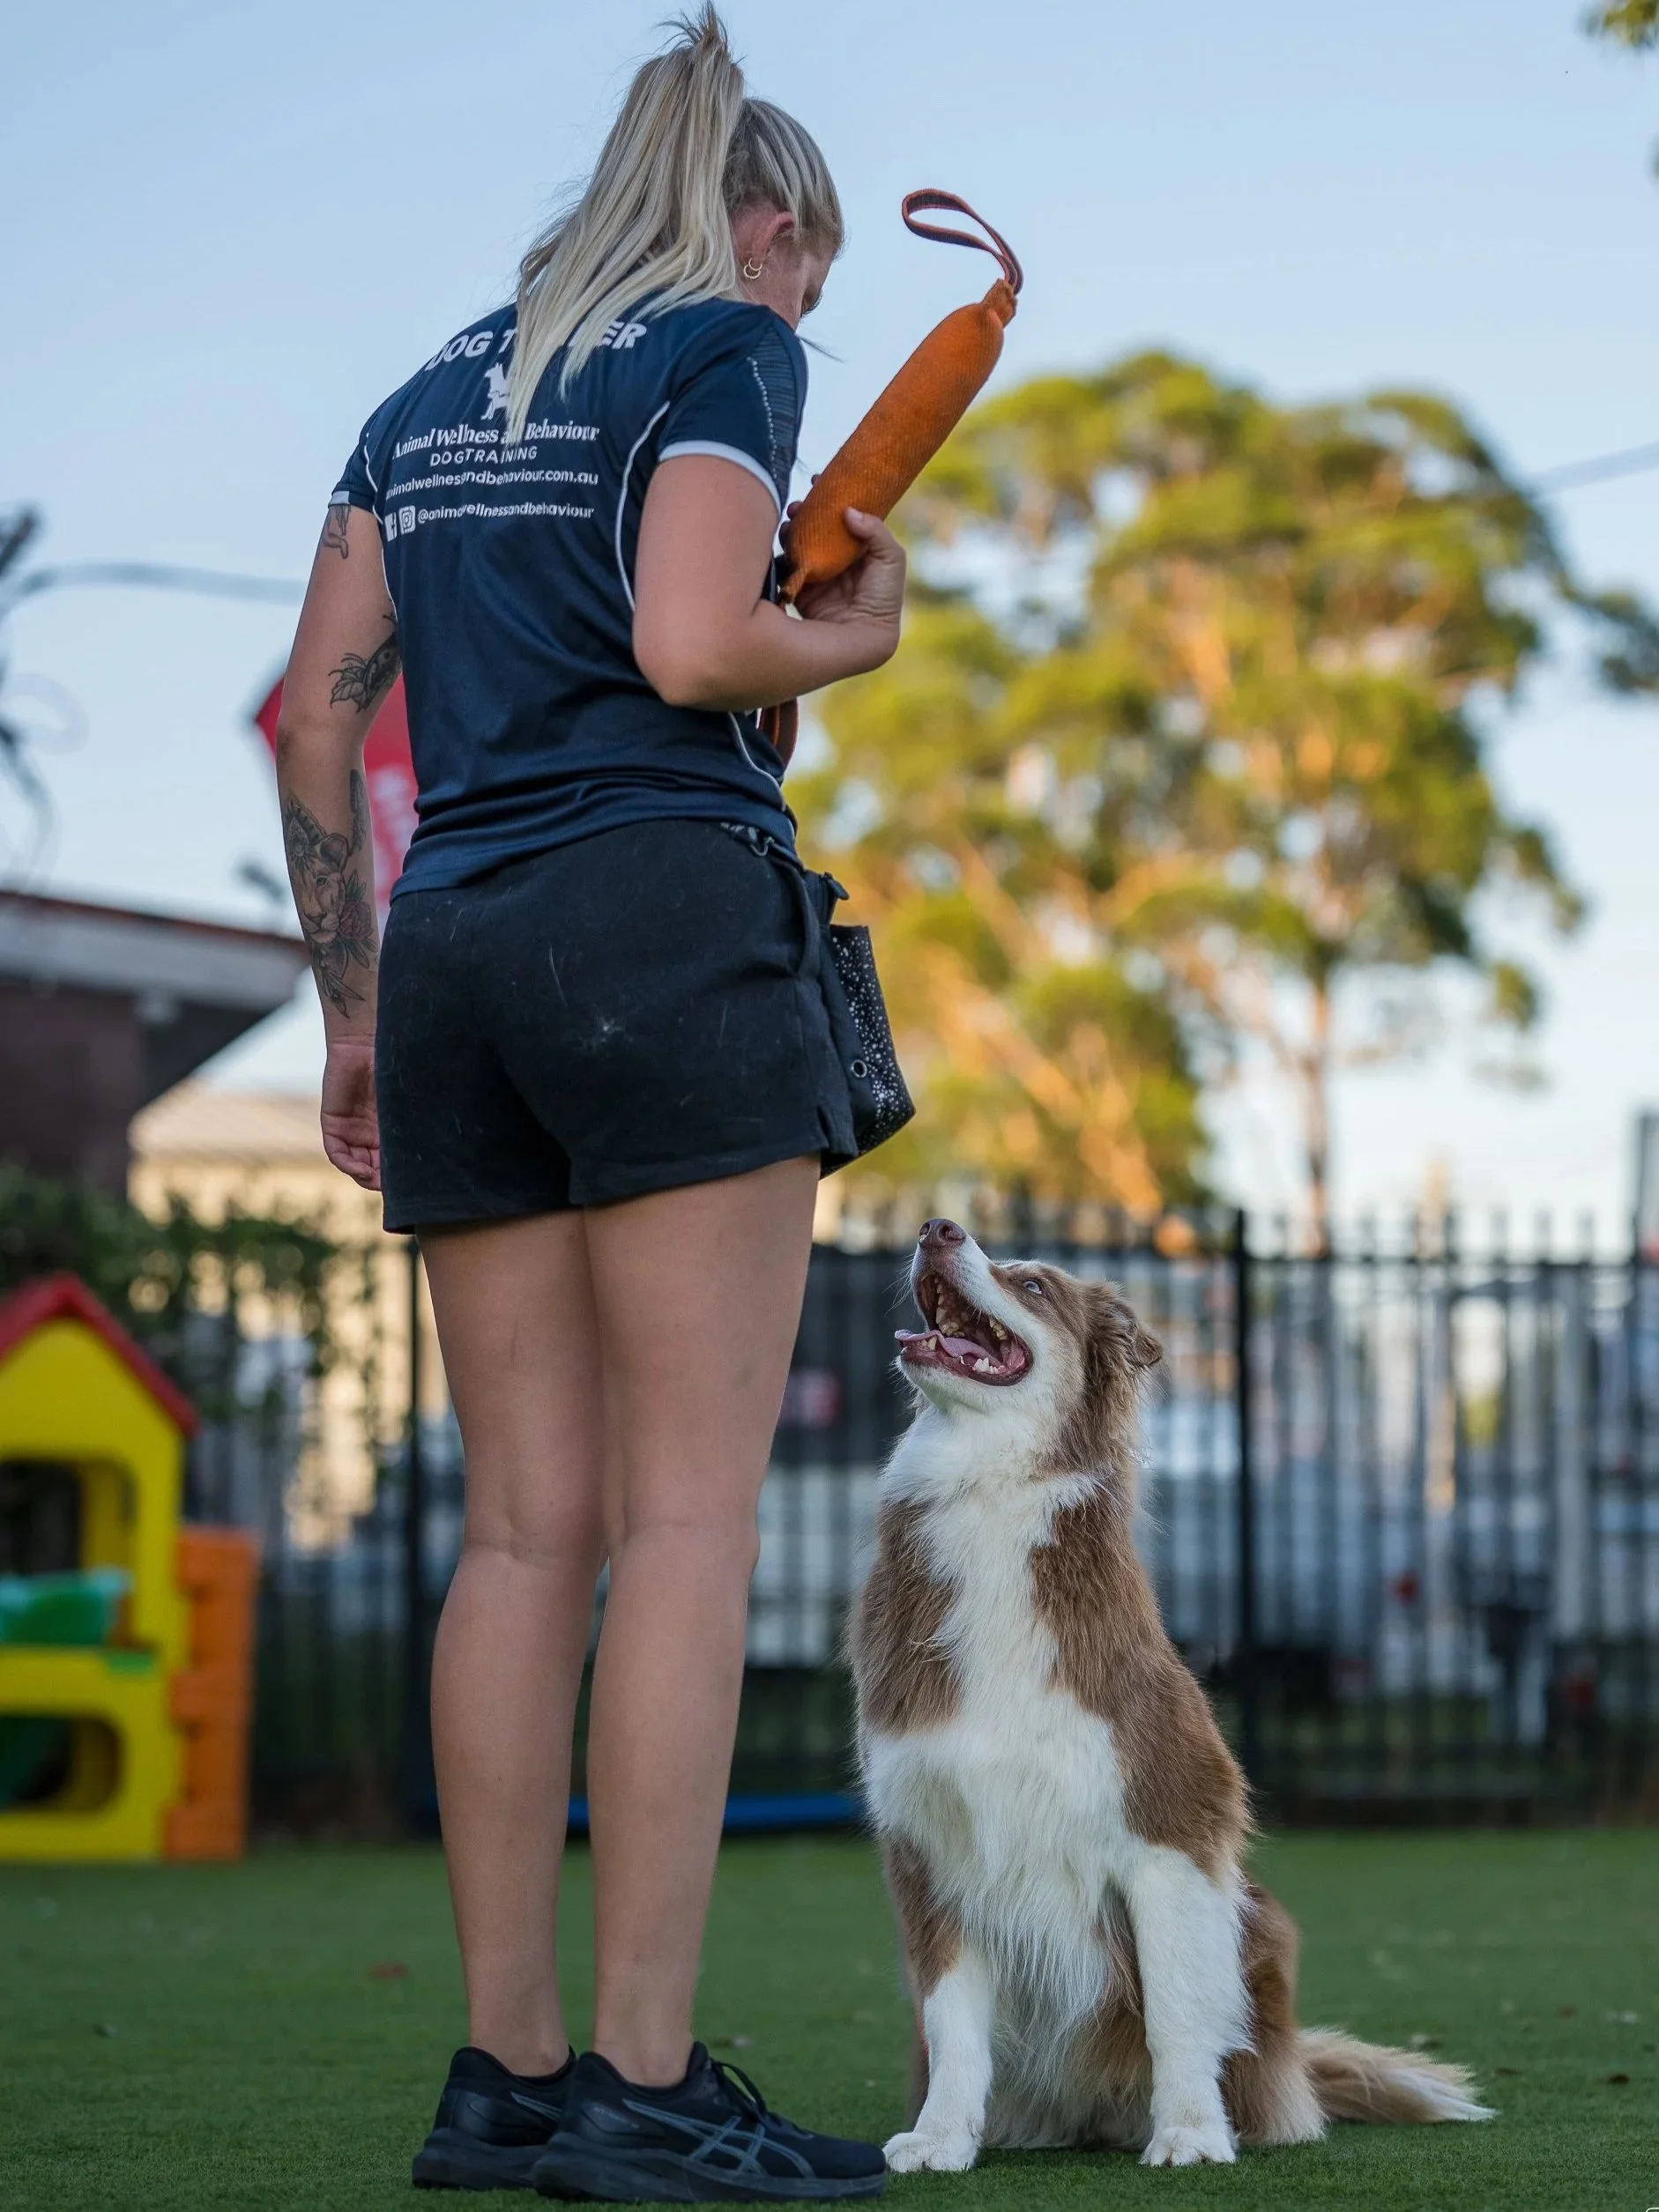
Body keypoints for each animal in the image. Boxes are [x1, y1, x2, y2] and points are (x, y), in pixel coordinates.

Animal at [849, 1218, 1492, 2171]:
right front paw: (941, 2137)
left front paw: (1189, 2129)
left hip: (1259, 1925)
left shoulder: (1167, 1828)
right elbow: (953, 2020)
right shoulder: (929, 1848)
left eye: (1033, 1285)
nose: (937, 1227)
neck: (987, 1494)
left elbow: (1178, 2007)